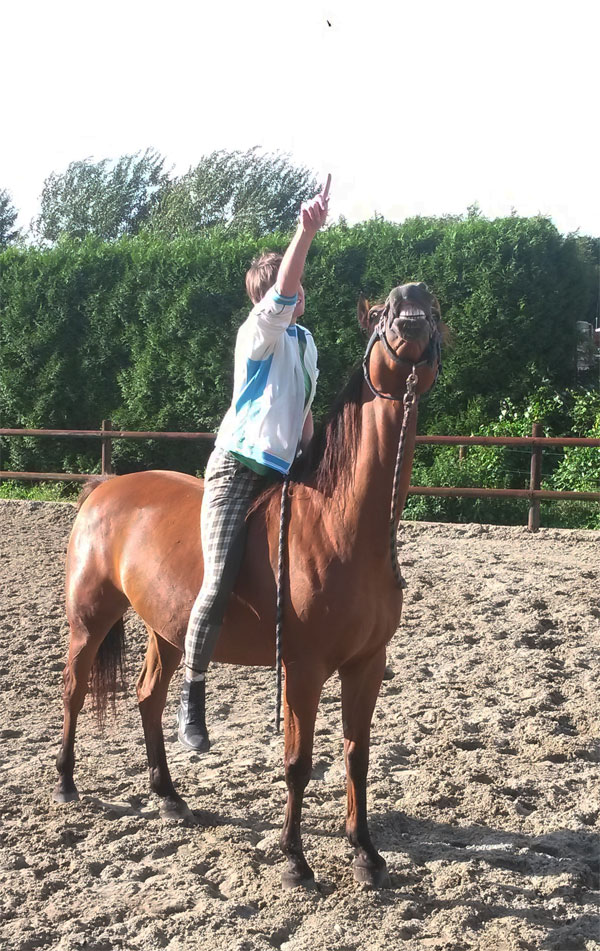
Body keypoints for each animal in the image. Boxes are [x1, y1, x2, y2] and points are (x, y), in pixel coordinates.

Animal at [54, 278, 442, 888]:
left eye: (437, 307)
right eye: (382, 311)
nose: (412, 301)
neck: (344, 524)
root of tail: (104, 487)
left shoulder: (367, 663)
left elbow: (357, 755)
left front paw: (364, 851)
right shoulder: (303, 667)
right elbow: (298, 761)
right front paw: (294, 860)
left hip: (167, 630)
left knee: (148, 697)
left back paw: (169, 796)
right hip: (90, 618)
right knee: (73, 690)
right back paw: (68, 783)